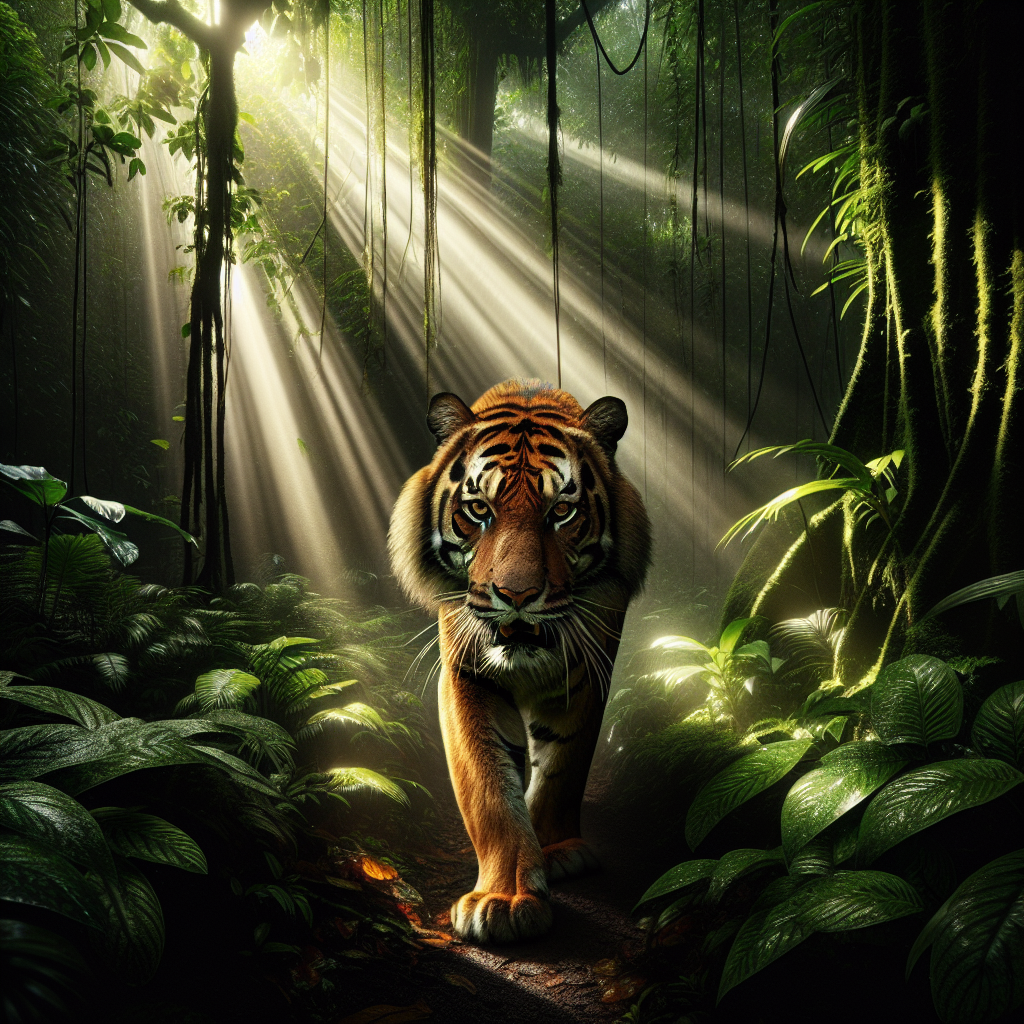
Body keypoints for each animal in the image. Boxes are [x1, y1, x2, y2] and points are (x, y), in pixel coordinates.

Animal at [388, 379, 651, 943]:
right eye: (479, 510)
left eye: (561, 513)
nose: (516, 595)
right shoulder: (466, 672)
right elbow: (490, 789)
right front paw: (504, 900)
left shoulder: (589, 669)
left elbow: (563, 766)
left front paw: (555, 851)